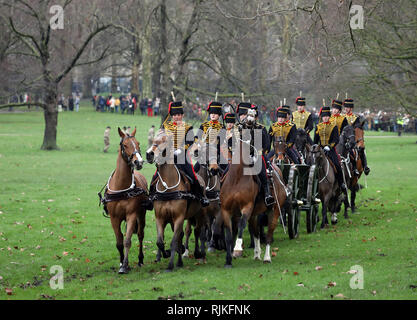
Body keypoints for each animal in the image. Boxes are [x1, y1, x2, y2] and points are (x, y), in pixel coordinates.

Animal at [100, 127, 147, 272]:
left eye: (138, 143)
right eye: (125, 145)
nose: (138, 162)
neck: (121, 187)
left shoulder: (131, 214)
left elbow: (127, 241)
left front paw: (125, 265)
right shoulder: (114, 218)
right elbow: (119, 242)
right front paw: (121, 262)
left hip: (141, 214)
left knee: (140, 234)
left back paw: (140, 259)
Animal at [146, 131, 203, 272]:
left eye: (165, 141)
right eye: (154, 140)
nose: (149, 154)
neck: (168, 188)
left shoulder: (178, 218)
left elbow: (173, 242)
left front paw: (170, 265)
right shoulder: (160, 218)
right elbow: (160, 242)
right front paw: (166, 254)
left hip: (199, 214)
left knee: (197, 231)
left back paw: (197, 253)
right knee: (181, 235)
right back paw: (180, 259)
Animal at [218, 121, 286, 266]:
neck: (237, 178)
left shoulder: (247, 207)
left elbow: (241, 225)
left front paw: (237, 249)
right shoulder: (226, 210)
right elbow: (229, 234)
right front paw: (228, 260)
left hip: (274, 211)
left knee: (268, 235)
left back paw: (267, 257)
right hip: (255, 214)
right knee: (256, 233)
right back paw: (256, 254)